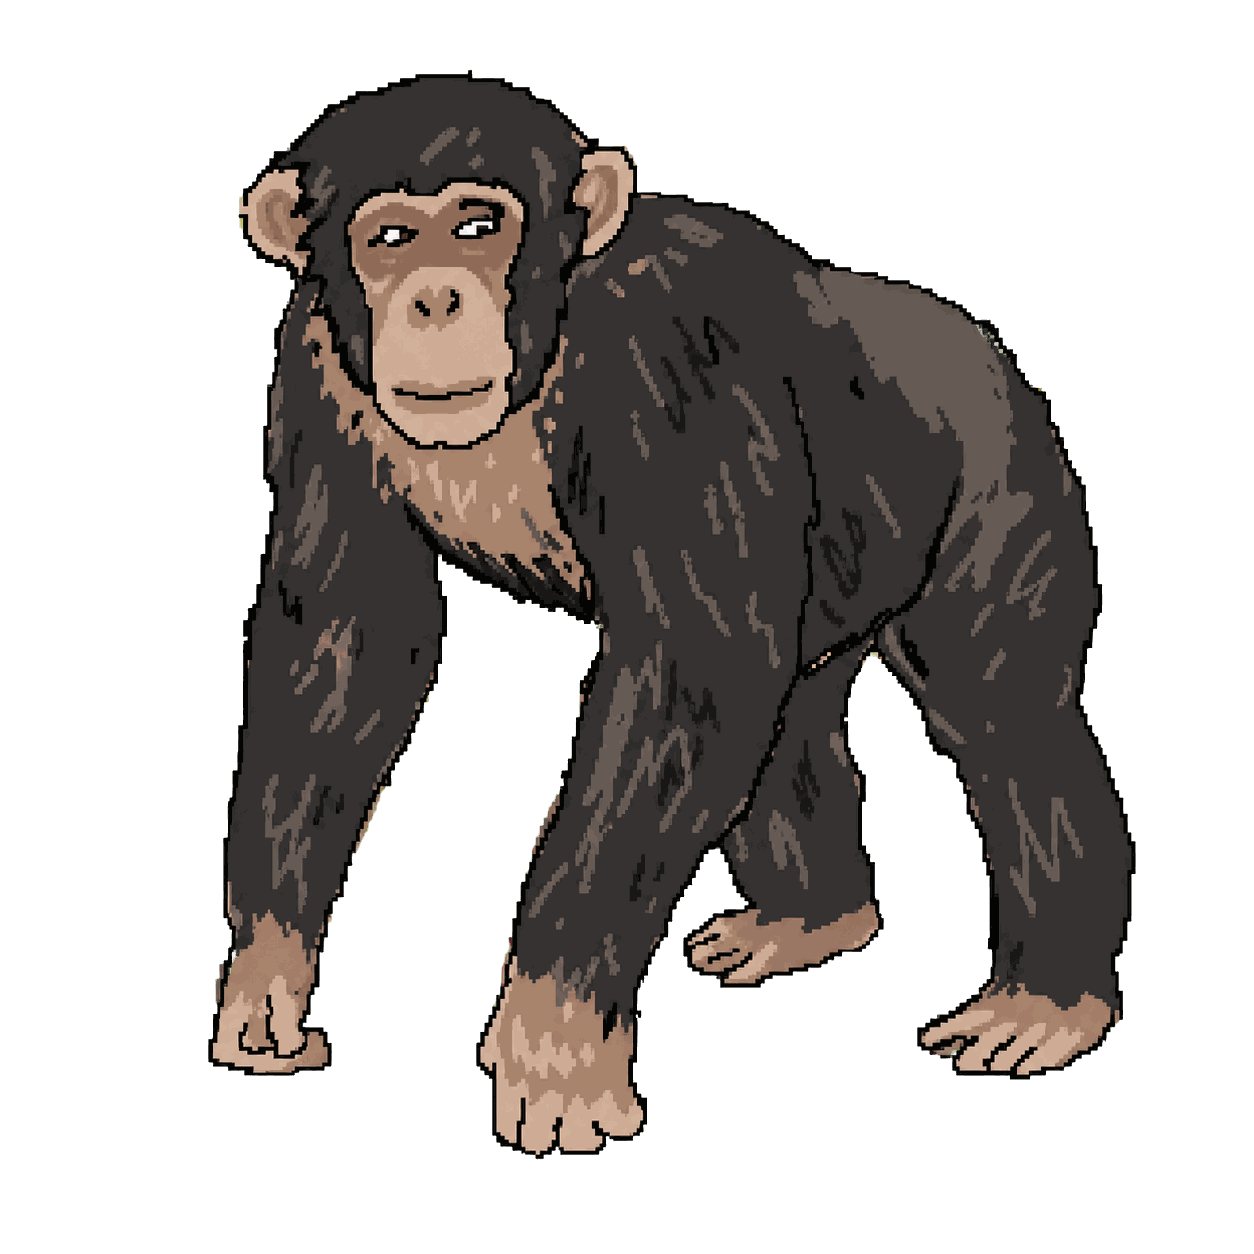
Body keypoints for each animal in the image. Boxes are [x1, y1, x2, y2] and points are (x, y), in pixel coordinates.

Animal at [218, 78, 1130, 1151]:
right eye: (390, 237)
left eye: (480, 226)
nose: (436, 294)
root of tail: (977, 344)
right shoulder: (314, 371)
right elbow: (345, 647)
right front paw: (268, 977)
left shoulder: (670, 375)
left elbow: (682, 674)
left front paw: (555, 1040)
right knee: (788, 725)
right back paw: (811, 921)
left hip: (1003, 472)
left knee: (1005, 719)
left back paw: (1046, 1002)